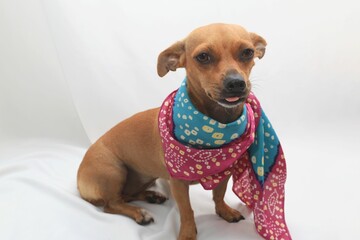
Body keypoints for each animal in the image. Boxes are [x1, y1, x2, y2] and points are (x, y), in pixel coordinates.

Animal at [77, 23, 266, 240]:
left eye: (247, 52)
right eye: (203, 57)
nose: (236, 83)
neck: (213, 126)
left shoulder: (224, 172)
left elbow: (218, 195)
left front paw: (224, 211)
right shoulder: (178, 183)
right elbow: (186, 210)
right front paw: (187, 234)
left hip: (143, 177)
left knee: (126, 196)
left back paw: (151, 196)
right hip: (114, 171)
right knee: (111, 204)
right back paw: (139, 213)